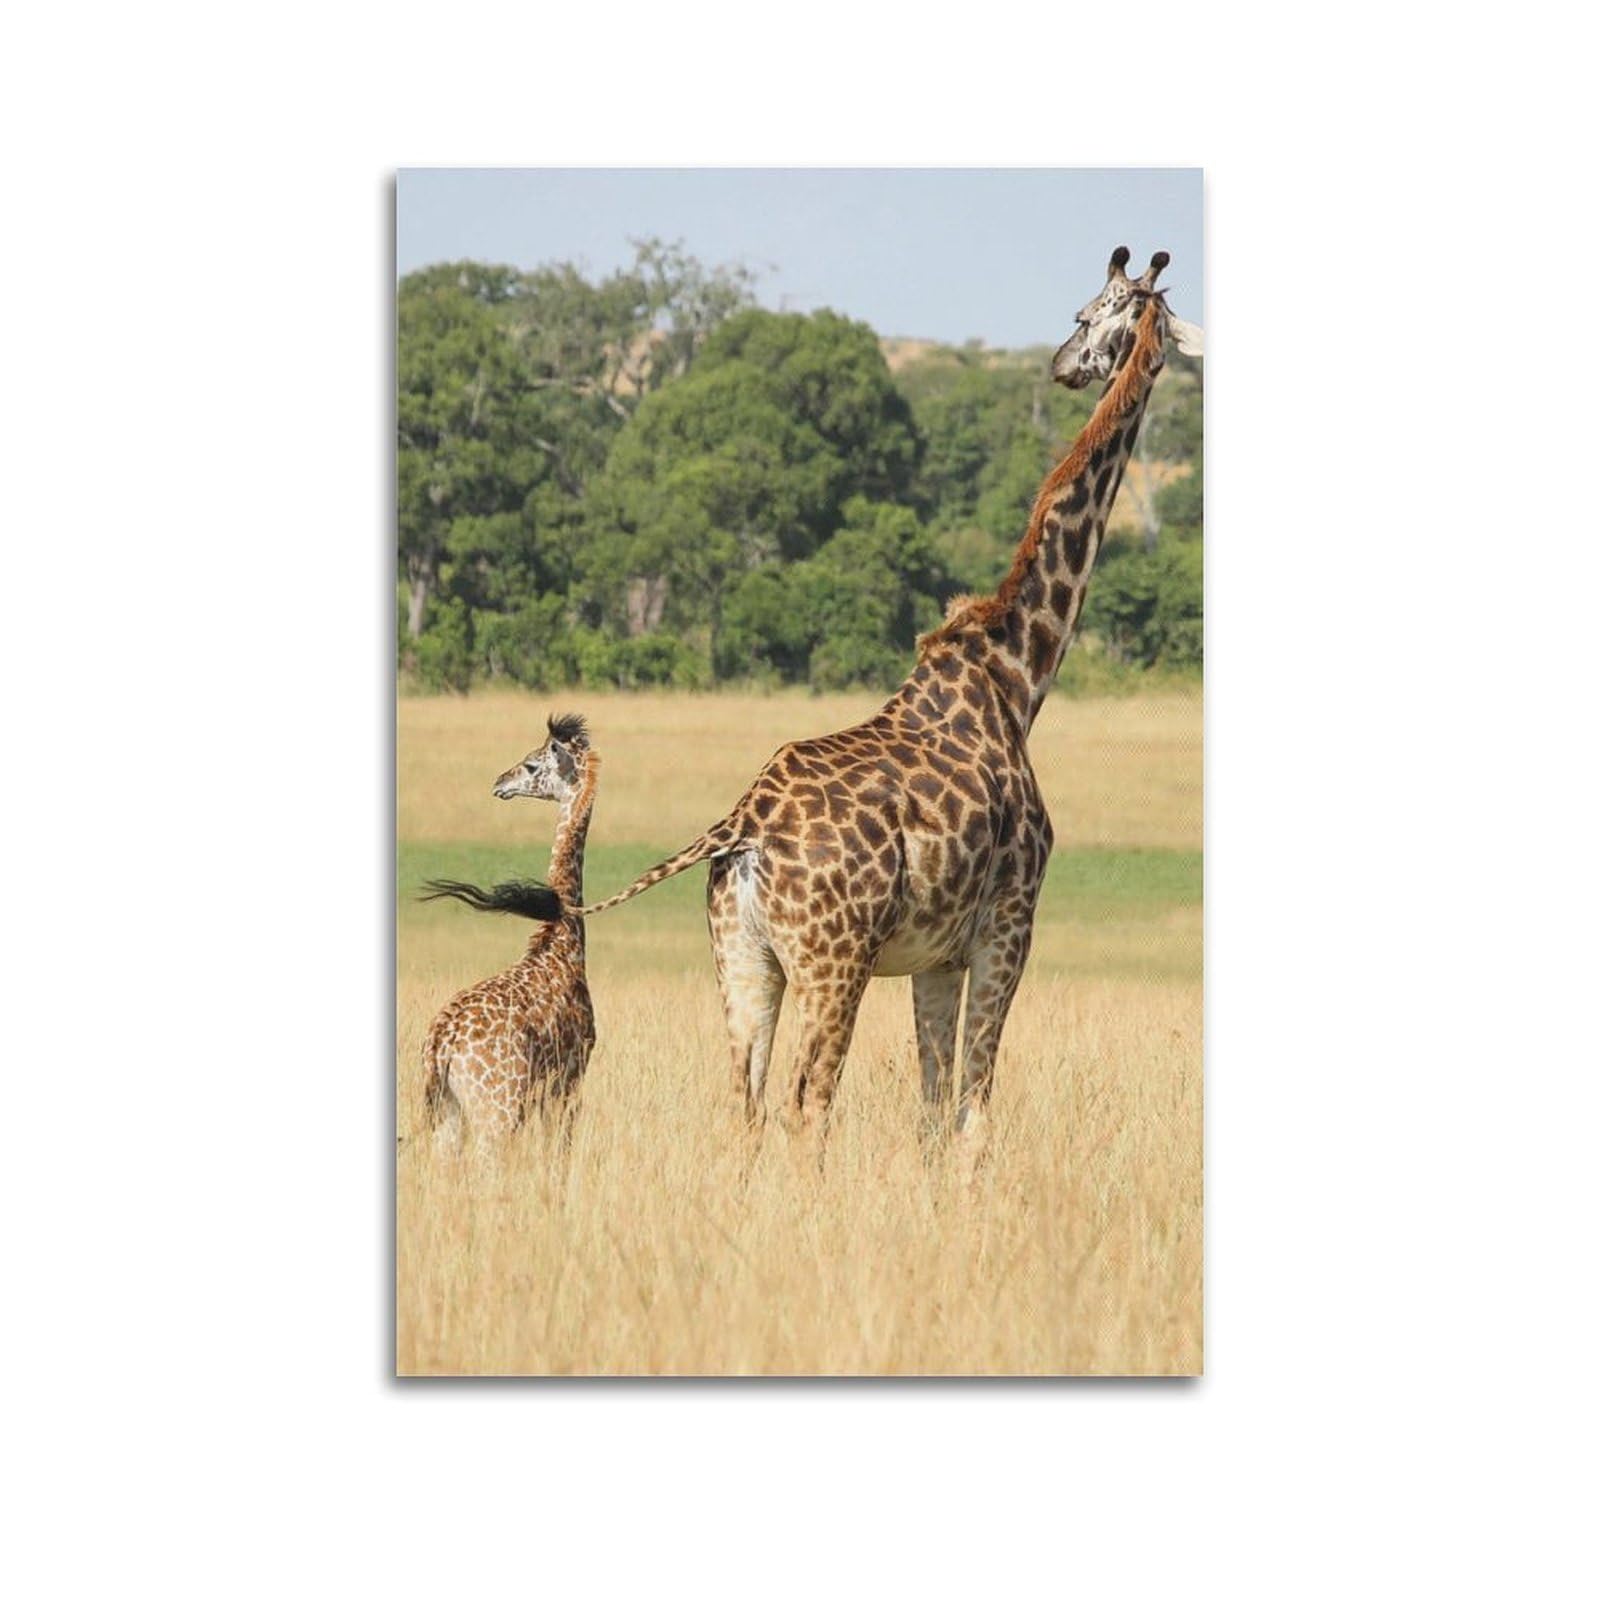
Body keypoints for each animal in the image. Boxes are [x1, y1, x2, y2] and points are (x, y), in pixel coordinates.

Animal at [417, 713, 599, 1145]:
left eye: (532, 765)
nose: (499, 782)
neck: (562, 940)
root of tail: (440, 1045)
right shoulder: (570, 1077)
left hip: (448, 1114)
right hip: (496, 1113)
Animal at [580, 249, 1201, 1148]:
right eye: (1089, 313)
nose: (1062, 363)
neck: (1018, 675)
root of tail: (740, 829)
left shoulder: (934, 955)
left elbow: (932, 1111)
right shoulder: (1010, 923)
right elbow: (974, 1108)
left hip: (743, 960)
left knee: (746, 1104)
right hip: (834, 962)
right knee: (808, 1101)